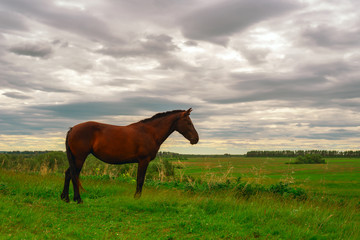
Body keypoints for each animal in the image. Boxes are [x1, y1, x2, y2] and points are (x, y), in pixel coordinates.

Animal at [60, 108, 198, 203]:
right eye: (188, 122)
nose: (196, 139)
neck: (150, 132)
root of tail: (72, 129)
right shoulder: (143, 160)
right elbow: (140, 180)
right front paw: (137, 197)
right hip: (79, 158)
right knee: (74, 174)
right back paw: (78, 199)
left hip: (75, 158)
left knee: (68, 174)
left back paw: (66, 198)